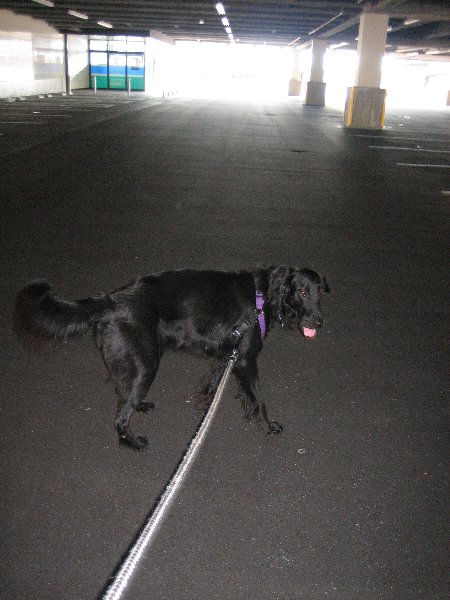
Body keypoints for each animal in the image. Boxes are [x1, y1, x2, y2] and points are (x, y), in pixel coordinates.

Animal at [13, 266, 329, 450]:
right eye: (302, 291)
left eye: (320, 294)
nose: (319, 321)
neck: (264, 295)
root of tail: (111, 299)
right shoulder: (245, 360)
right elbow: (259, 399)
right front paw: (269, 426)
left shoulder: (229, 354)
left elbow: (215, 381)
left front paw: (206, 401)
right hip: (146, 363)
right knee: (120, 416)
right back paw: (135, 442)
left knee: (124, 393)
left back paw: (140, 406)